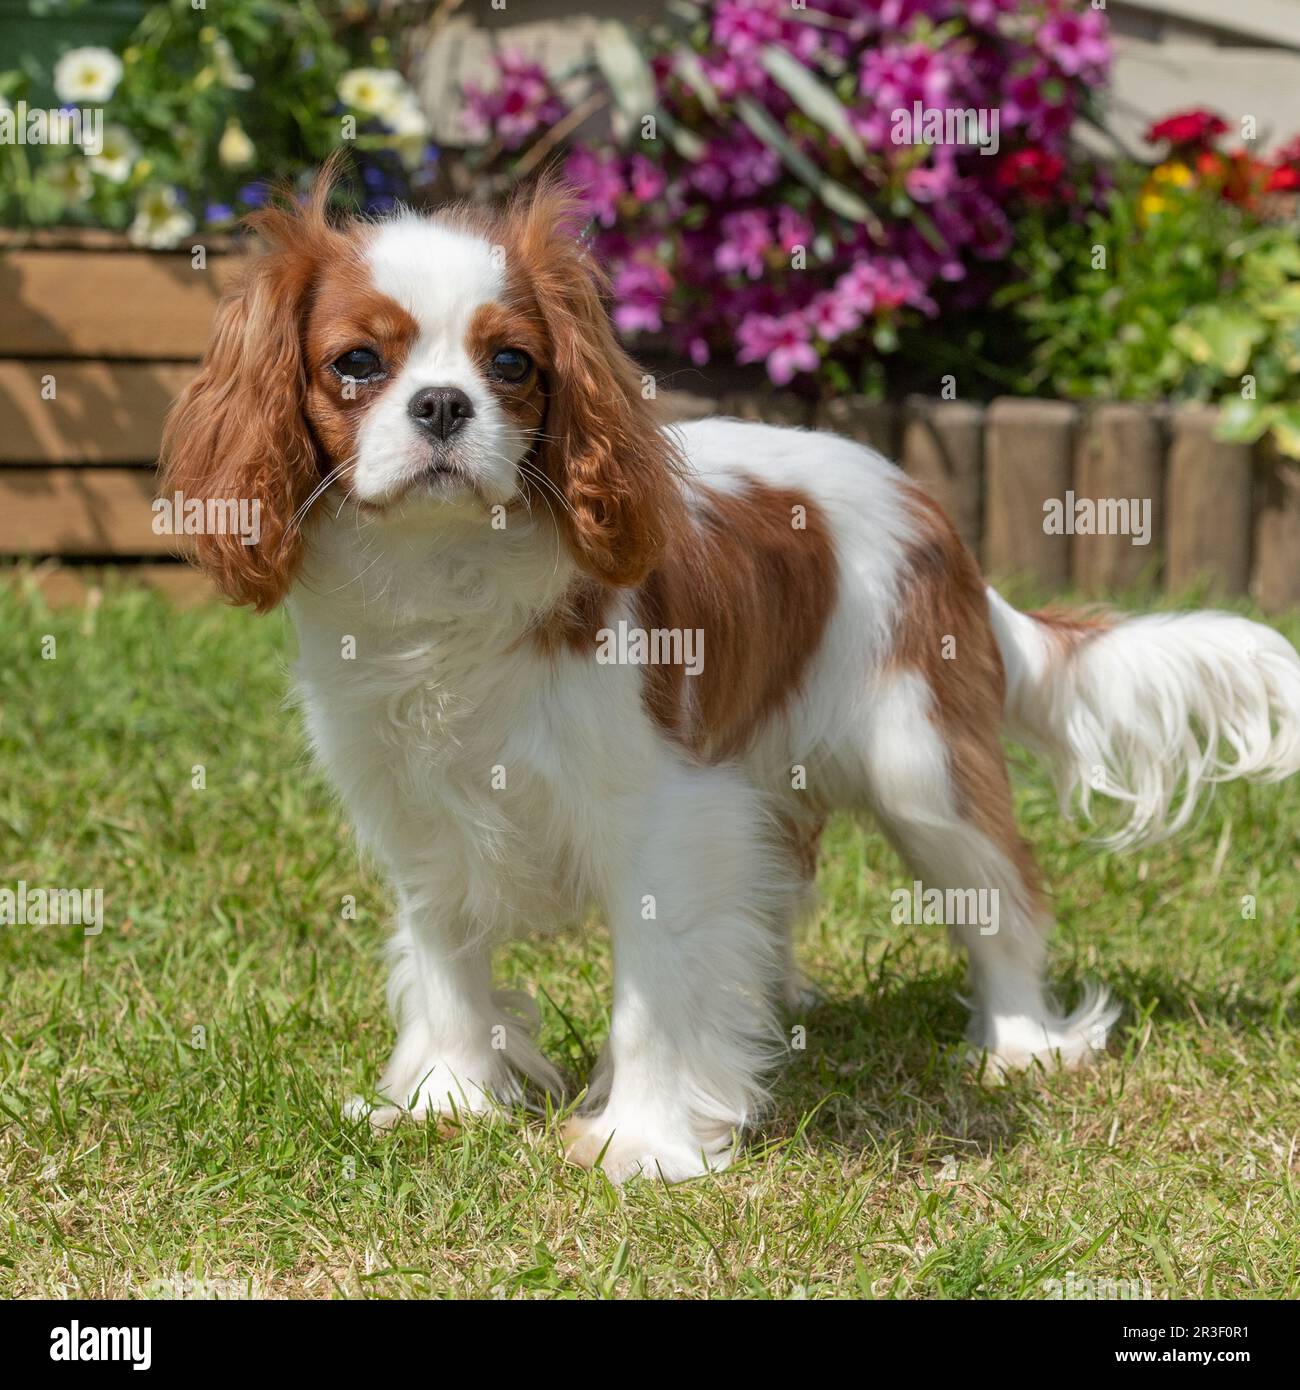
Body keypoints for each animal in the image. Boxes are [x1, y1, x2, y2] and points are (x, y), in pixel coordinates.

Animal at [159, 168, 1300, 1178]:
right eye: (356, 361)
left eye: (514, 364)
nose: (442, 404)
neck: (445, 573)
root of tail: (937, 517)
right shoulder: (419, 810)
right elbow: (445, 956)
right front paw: (449, 1098)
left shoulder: (665, 814)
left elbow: (658, 988)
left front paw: (643, 1141)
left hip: (919, 764)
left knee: (1001, 894)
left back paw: (1022, 1043)